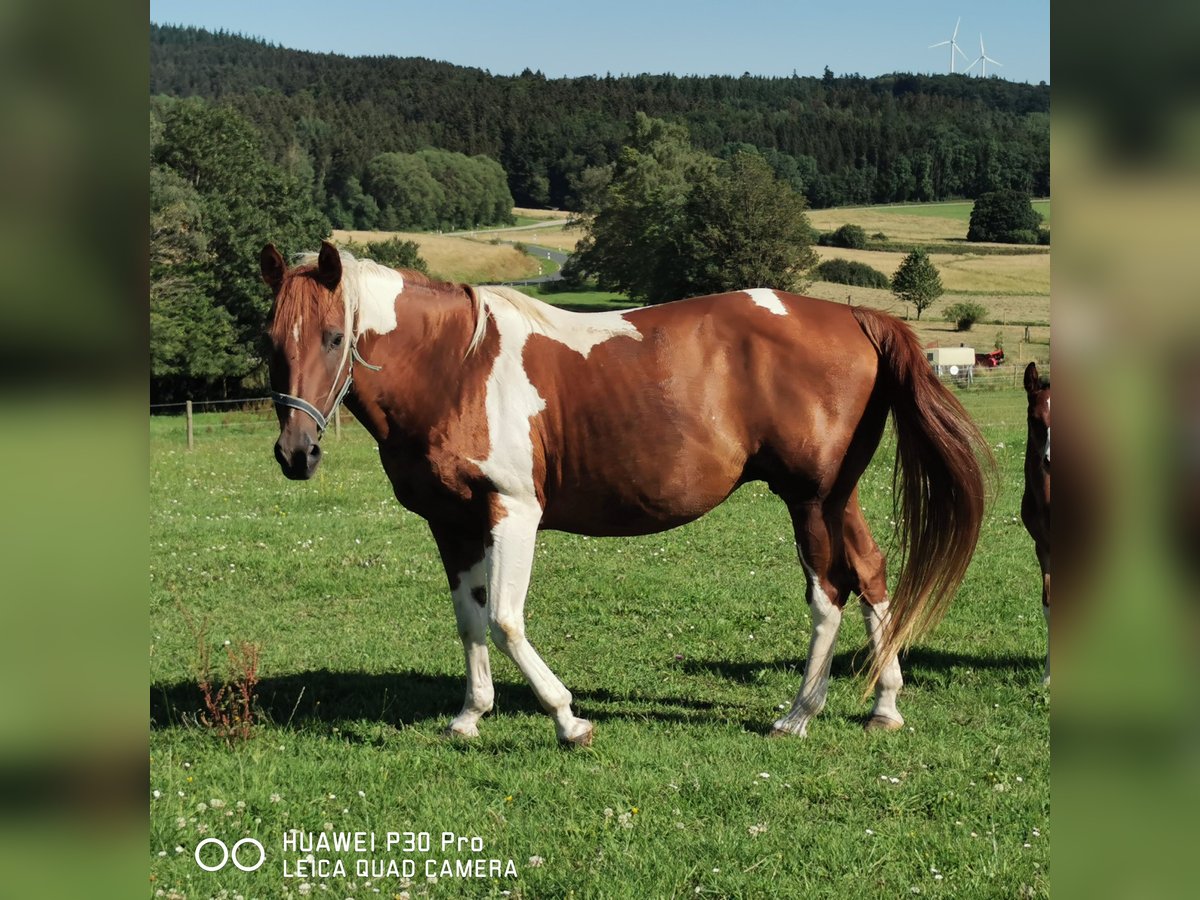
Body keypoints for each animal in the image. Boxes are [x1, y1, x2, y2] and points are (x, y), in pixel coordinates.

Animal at [261, 241, 988, 746]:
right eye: (270, 343)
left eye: (334, 337)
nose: (297, 454)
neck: (455, 369)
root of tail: (855, 318)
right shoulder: (452, 524)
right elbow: (470, 619)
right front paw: (470, 715)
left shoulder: (512, 514)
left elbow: (506, 619)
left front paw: (568, 720)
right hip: (838, 497)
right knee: (871, 572)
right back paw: (884, 705)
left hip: (808, 500)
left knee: (828, 594)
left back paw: (797, 715)